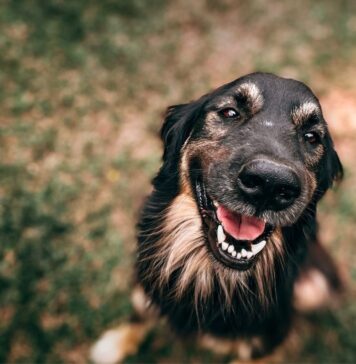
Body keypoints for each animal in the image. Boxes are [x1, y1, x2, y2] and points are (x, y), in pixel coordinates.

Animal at [90, 72, 344, 362]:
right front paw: (118, 342)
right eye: (230, 112)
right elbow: (140, 312)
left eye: (311, 137)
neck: (212, 274)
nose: (269, 184)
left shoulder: (267, 337)